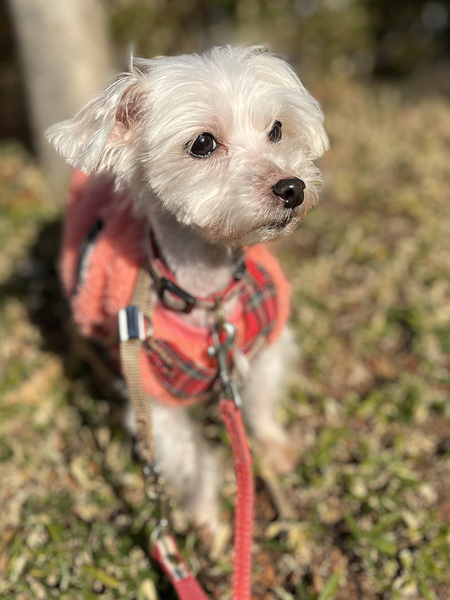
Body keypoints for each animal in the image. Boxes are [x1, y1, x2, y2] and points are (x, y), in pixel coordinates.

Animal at [47, 46, 329, 536]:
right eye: (202, 144)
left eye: (276, 129)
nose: (292, 187)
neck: (209, 298)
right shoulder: (152, 397)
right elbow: (189, 459)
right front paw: (207, 519)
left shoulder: (269, 339)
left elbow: (261, 403)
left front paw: (276, 449)